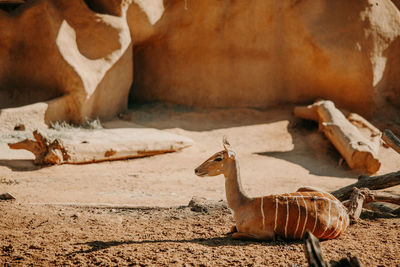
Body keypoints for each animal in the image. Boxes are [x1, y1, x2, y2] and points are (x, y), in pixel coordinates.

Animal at [195, 138, 350, 241]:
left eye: (218, 158)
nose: (196, 169)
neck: (243, 204)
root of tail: (344, 212)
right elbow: (232, 228)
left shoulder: (266, 235)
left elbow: (235, 233)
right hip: (302, 187)